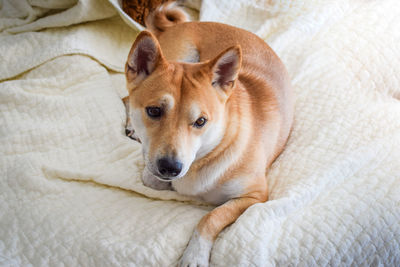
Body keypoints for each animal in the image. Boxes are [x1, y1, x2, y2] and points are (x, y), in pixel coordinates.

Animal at [122, 2, 294, 267]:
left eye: (201, 121)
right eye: (154, 111)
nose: (170, 168)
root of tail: (186, 24)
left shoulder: (255, 196)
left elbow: (211, 217)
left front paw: (195, 254)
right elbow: (151, 178)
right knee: (126, 97)